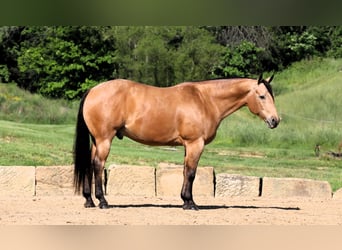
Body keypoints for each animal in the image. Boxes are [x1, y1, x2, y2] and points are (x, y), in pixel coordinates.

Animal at [73, 73, 280, 209]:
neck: (205, 100)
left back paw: (89, 200)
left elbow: (185, 171)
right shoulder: (195, 144)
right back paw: (102, 201)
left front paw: (185, 200)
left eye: (272, 96)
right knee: (98, 165)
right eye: (262, 96)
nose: (275, 121)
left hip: (97, 141)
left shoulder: (188, 146)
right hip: (104, 140)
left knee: (89, 165)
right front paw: (190, 203)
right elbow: (191, 173)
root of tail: (92, 90)